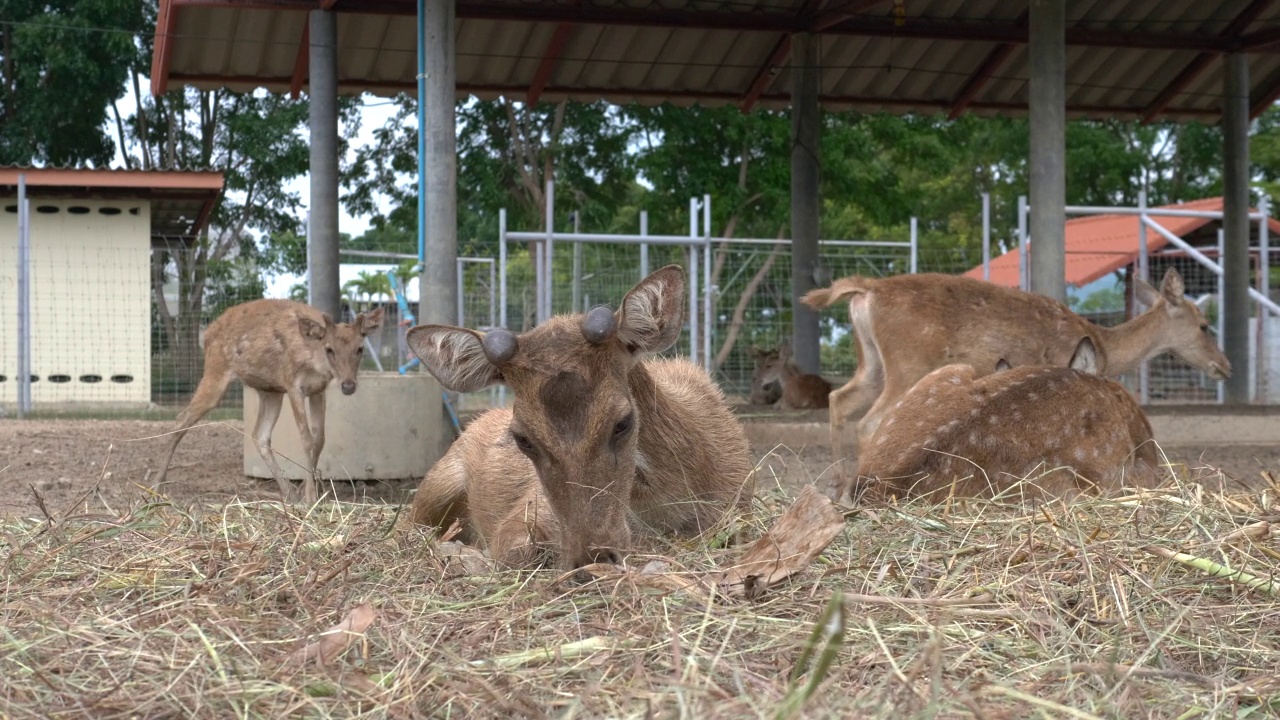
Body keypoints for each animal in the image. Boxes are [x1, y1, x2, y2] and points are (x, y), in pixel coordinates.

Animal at [152, 299, 381, 502]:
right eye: (329, 349)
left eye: (360, 348)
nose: (348, 385)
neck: (313, 361)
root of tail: (207, 333)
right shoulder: (293, 385)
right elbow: (306, 439)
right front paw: (310, 497)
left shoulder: (318, 390)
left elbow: (319, 439)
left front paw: (307, 492)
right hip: (215, 372)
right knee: (182, 418)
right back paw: (156, 484)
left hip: (269, 391)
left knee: (259, 434)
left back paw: (289, 493)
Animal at [404, 263, 752, 571]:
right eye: (522, 438)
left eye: (623, 422)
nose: (594, 554)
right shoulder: (528, 509)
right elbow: (513, 552)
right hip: (437, 484)